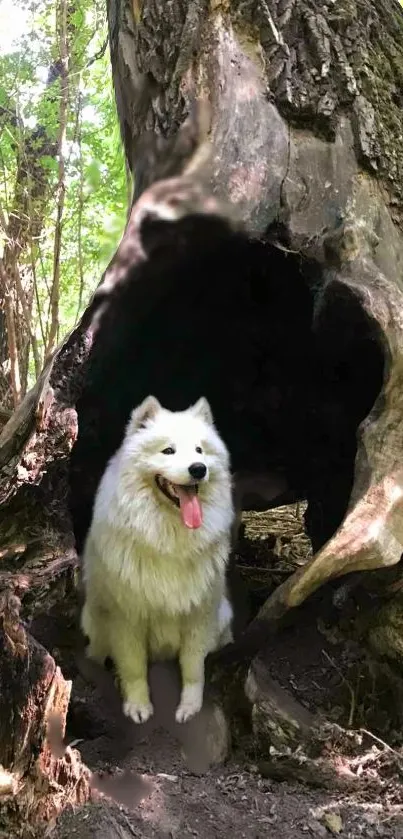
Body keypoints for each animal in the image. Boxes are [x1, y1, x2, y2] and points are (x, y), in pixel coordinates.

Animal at [81, 398, 234, 724]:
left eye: (200, 450)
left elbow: (193, 667)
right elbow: (133, 667)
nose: (198, 469)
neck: (170, 538)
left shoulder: (199, 615)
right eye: (168, 451)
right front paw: (138, 706)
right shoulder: (127, 618)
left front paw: (190, 707)